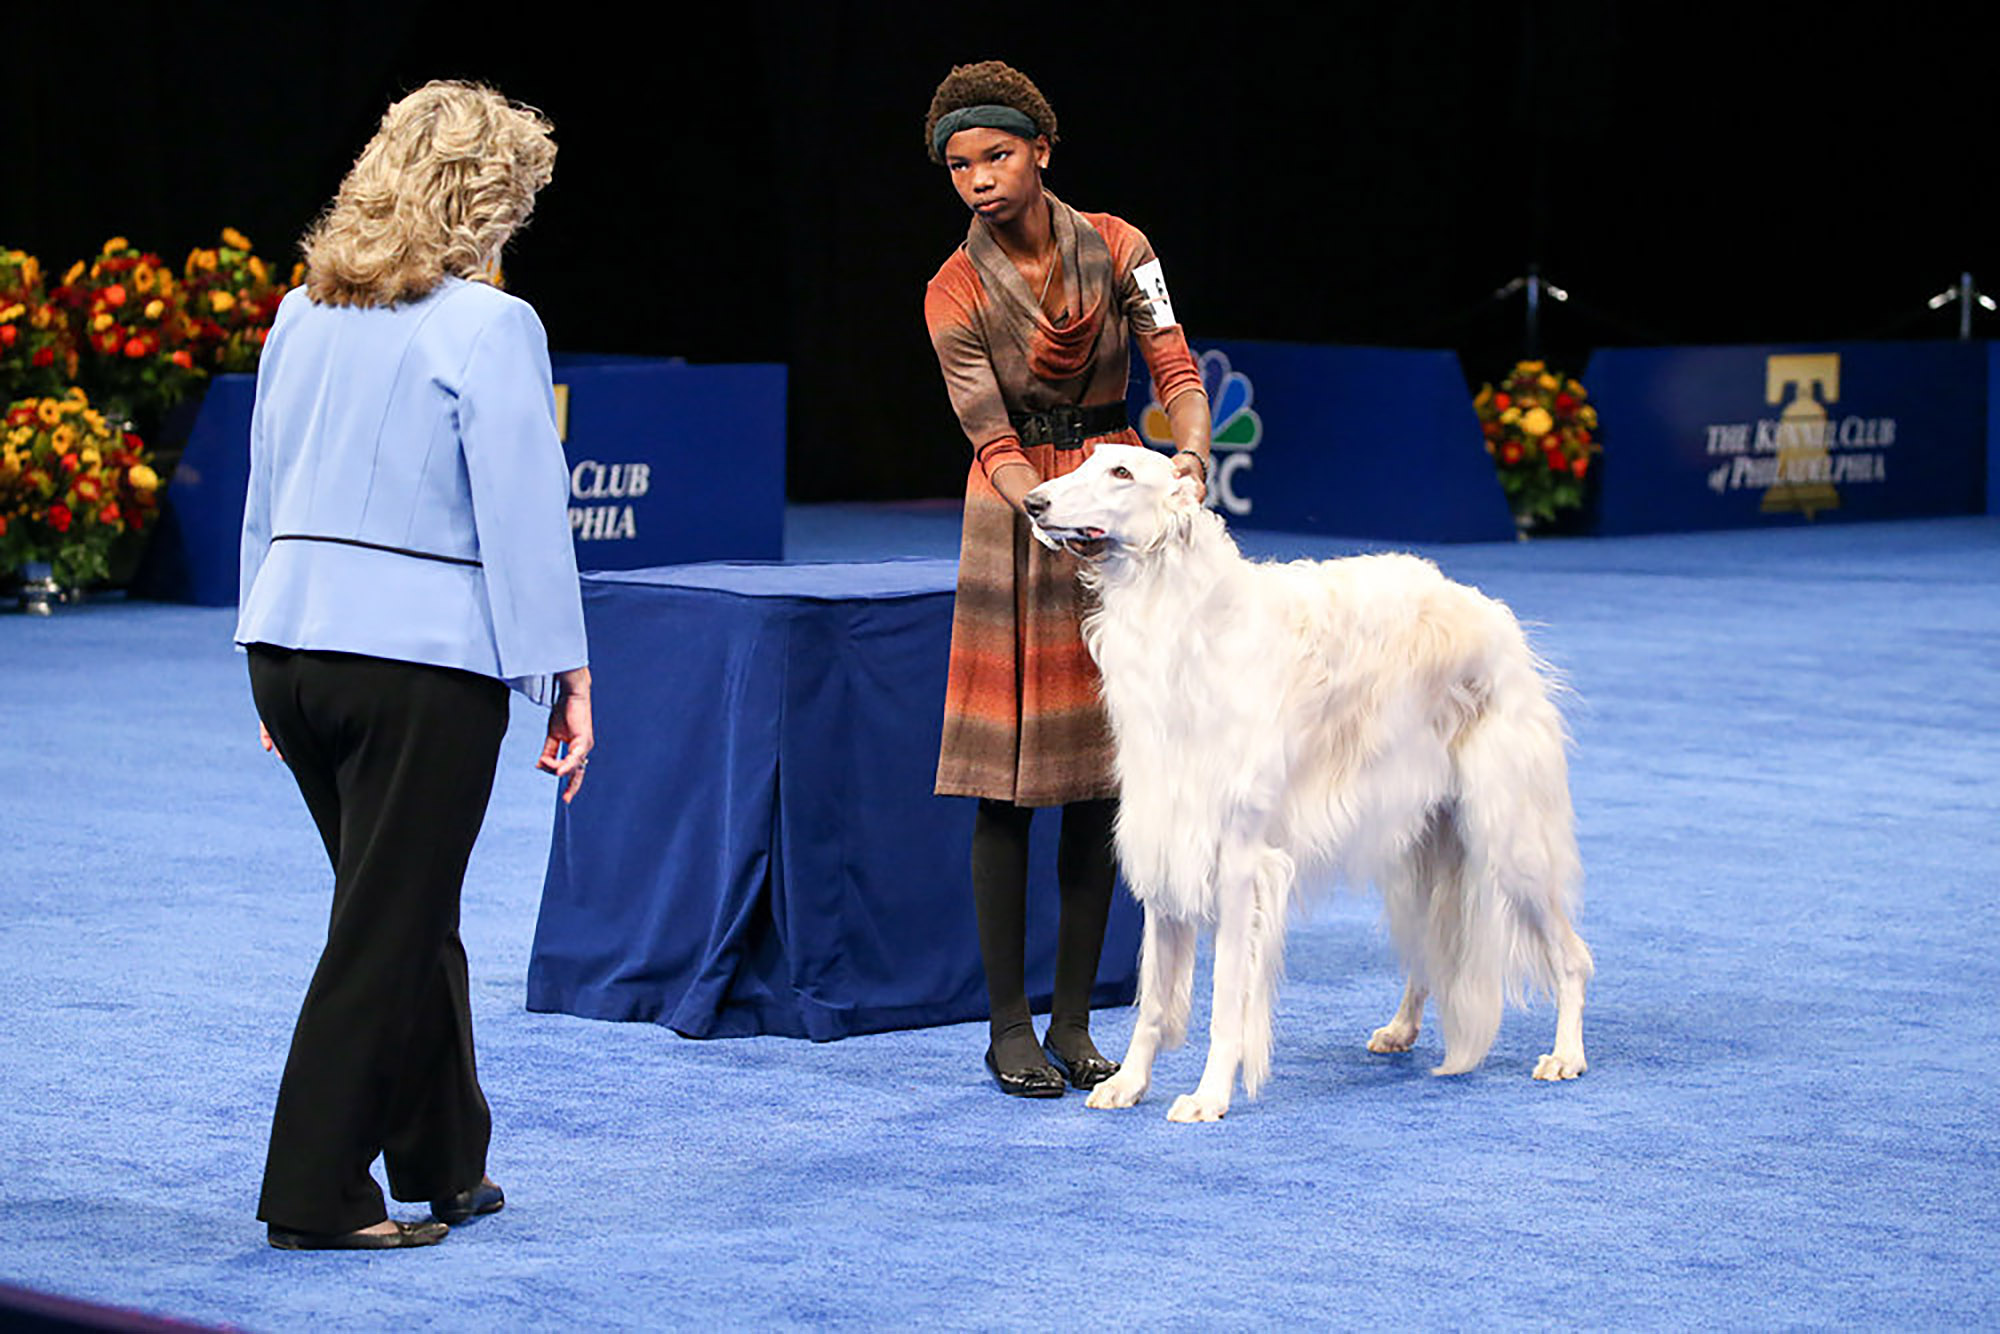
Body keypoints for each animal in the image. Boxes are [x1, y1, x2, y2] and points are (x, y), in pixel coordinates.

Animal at [1024, 444, 1584, 1120]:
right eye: (1086, 461)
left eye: (1122, 473)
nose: (1032, 503)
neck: (1183, 627)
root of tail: (1491, 613)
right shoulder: (1167, 842)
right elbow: (1154, 1003)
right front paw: (1127, 1084)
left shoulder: (1240, 862)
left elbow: (1227, 1003)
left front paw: (1209, 1096)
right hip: (1420, 846)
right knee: (1430, 952)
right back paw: (1401, 1029)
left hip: (1509, 836)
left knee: (1573, 956)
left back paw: (1566, 1054)